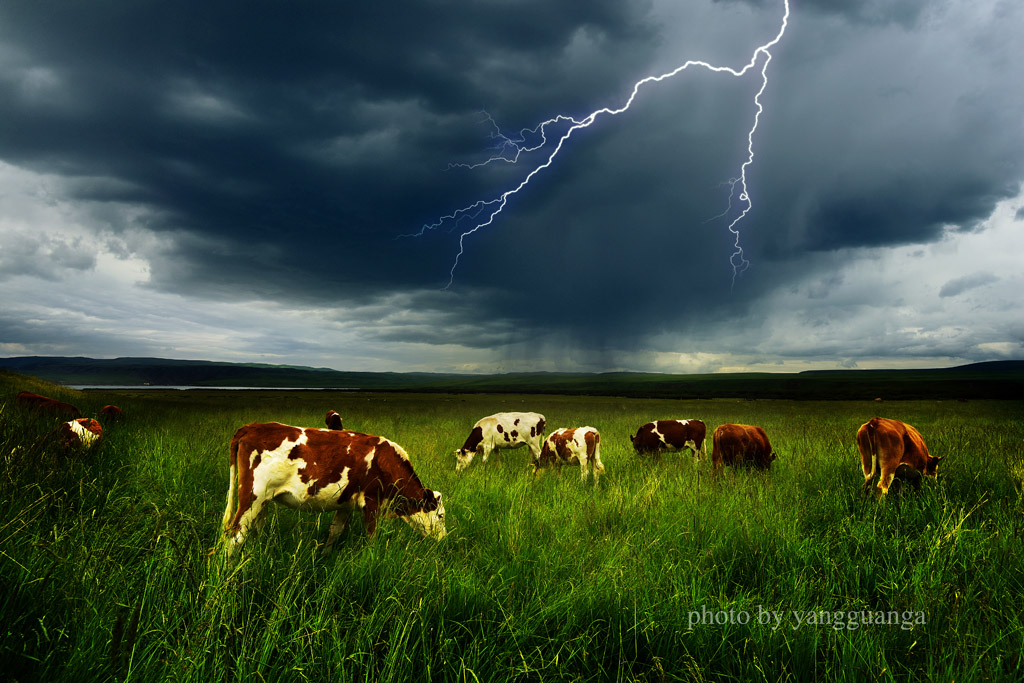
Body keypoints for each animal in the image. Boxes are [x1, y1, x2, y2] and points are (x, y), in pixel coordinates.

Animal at [222, 421, 446, 561]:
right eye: (441, 515)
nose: (444, 539)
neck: (385, 461)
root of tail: (251, 427)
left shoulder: (346, 503)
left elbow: (335, 532)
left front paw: (325, 556)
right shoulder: (372, 501)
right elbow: (371, 536)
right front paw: (370, 557)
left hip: (263, 501)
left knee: (253, 531)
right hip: (252, 496)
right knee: (235, 536)